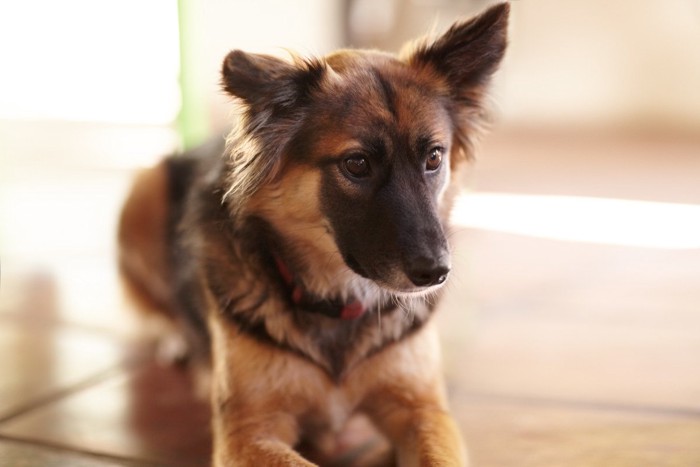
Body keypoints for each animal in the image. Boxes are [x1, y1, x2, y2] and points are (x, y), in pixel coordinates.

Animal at [116, 2, 508, 464]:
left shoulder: (423, 408)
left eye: (433, 157)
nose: (435, 273)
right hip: (143, 191)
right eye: (356, 164)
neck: (337, 302)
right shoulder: (247, 430)